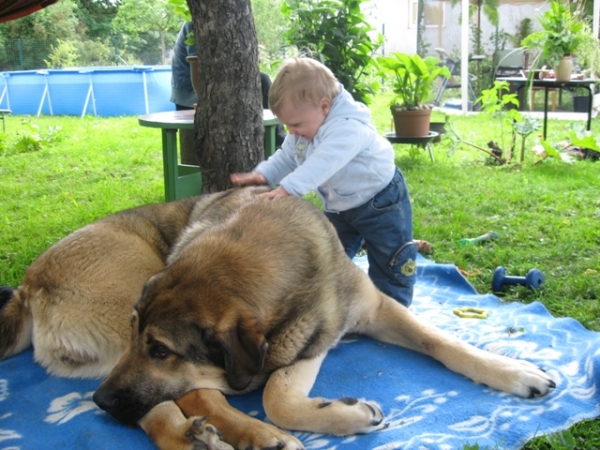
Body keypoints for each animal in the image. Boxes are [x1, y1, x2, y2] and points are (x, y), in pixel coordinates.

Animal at [0, 186, 556, 450]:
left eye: (159, 349)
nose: (99, 403)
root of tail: (28, 286)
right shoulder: (293, 345)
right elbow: (275, 397)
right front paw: (346, 415)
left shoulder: (345, 318)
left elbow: (443, 343)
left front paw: (515, 371)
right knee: (189, 396)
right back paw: (244, 435)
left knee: (164, 402)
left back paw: (199, 435)